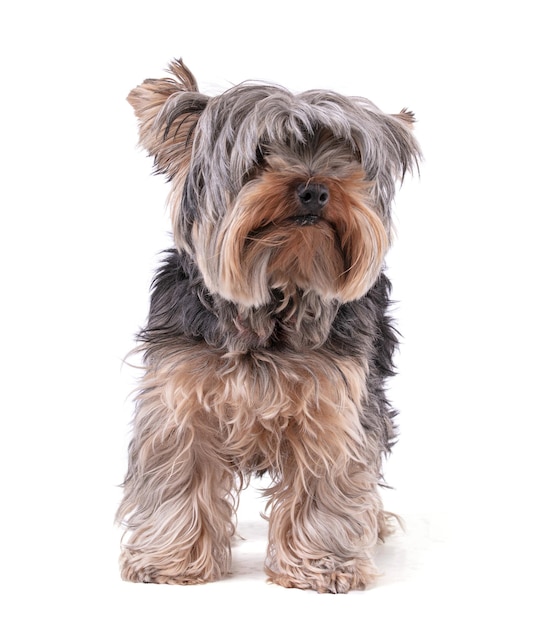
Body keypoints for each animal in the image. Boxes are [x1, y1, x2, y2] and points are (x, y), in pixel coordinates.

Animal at [117, 61, 422, 592]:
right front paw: (170, 560)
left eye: (346, 158)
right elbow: (178, 472)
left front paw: (324, 563)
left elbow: (328, 480)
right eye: (260, 154)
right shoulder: (179, 396)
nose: (316, 188)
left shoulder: (333, 402)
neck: (272, 298)